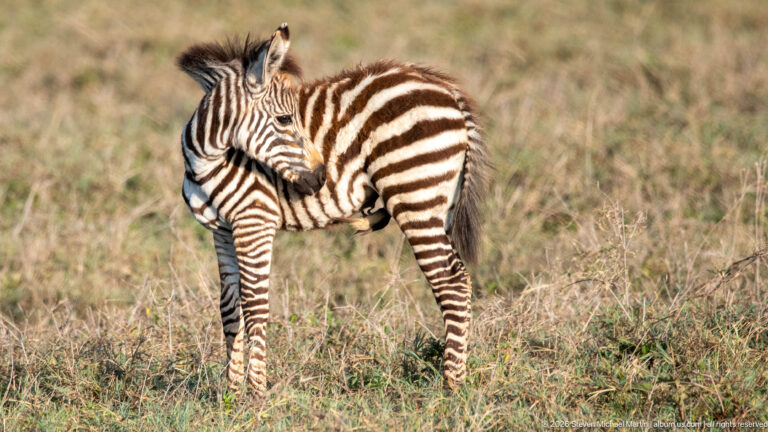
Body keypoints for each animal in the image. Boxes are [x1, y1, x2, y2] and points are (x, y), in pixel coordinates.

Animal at [177, 23, 491, 395]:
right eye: (284, 118)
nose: (320, 178)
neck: (206, 159)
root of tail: (449, 92)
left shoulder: (255, 221)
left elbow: (255, 305)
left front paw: (256, 393)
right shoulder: (222, 230)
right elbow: (230, 308)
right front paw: (231, 393)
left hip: (415, 195)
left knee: (451, 282)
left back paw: (451, 385)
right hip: (440, 201)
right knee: (458, 279)